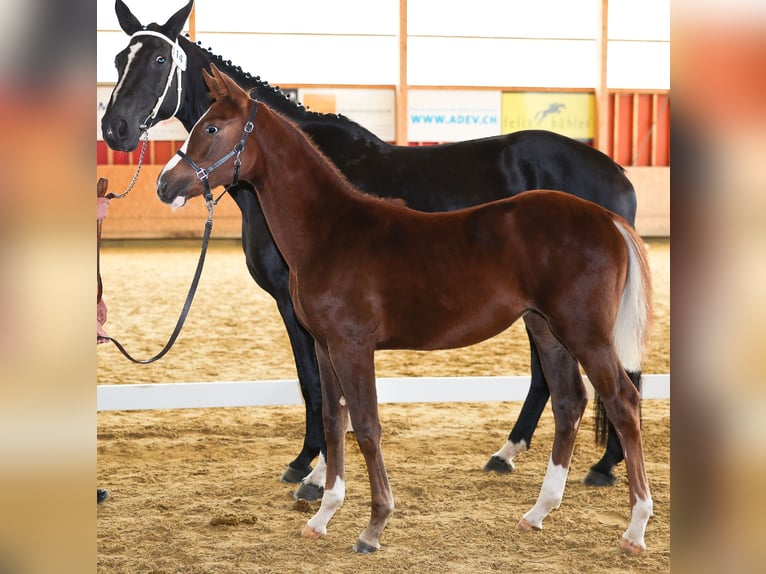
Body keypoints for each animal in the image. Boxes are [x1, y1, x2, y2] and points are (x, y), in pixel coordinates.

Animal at [101, 0, 640, 496]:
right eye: (118, 58)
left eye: (158, 60)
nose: (115, 129)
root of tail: (617, 174)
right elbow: (318, 386)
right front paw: (313, 464)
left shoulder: (299, 309)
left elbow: (317, 388)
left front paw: (313, 467)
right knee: (551, 377)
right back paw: (510, 452)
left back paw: (604, 463)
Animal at [157, 65, 654, 555]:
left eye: (212, 128)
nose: (164, 184)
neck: (329, 230)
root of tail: (607, 219)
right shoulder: (324, 346)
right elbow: (334, 421)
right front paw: (322, 515)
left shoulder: (353, 345)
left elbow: (366, 425)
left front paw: (373, 526)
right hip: (548, 329)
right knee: (570, 403)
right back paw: (538, 512)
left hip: (585, 333)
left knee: (623, 401)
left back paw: (634, 527)